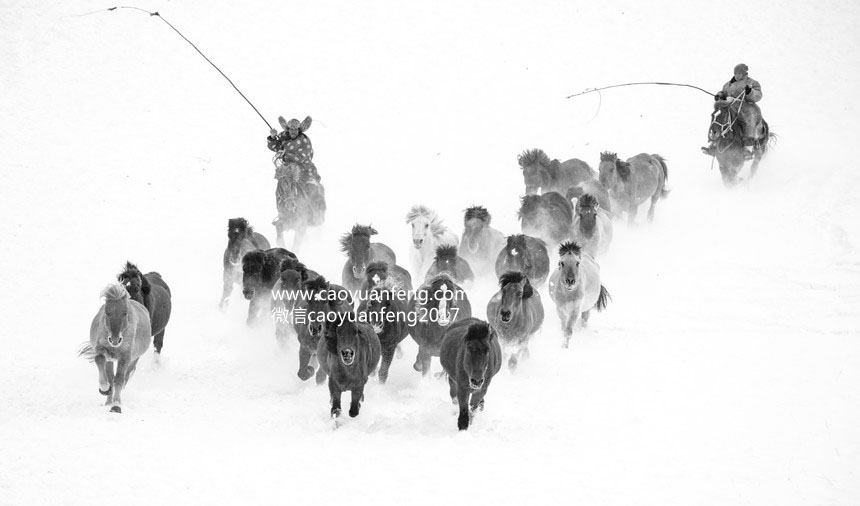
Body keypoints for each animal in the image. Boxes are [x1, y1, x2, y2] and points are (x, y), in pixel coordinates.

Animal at [78, 282, 151, 414]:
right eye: (107, 312)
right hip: (111, 360)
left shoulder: (125, 358)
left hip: (134, 359)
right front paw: (104, 389)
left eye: (125, 312)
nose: (115, 340)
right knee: (110, 376)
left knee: (125, 377)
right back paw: (108, 401)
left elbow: (119, 379)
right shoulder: (103, 351)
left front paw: (116, 406)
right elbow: (100, 361)